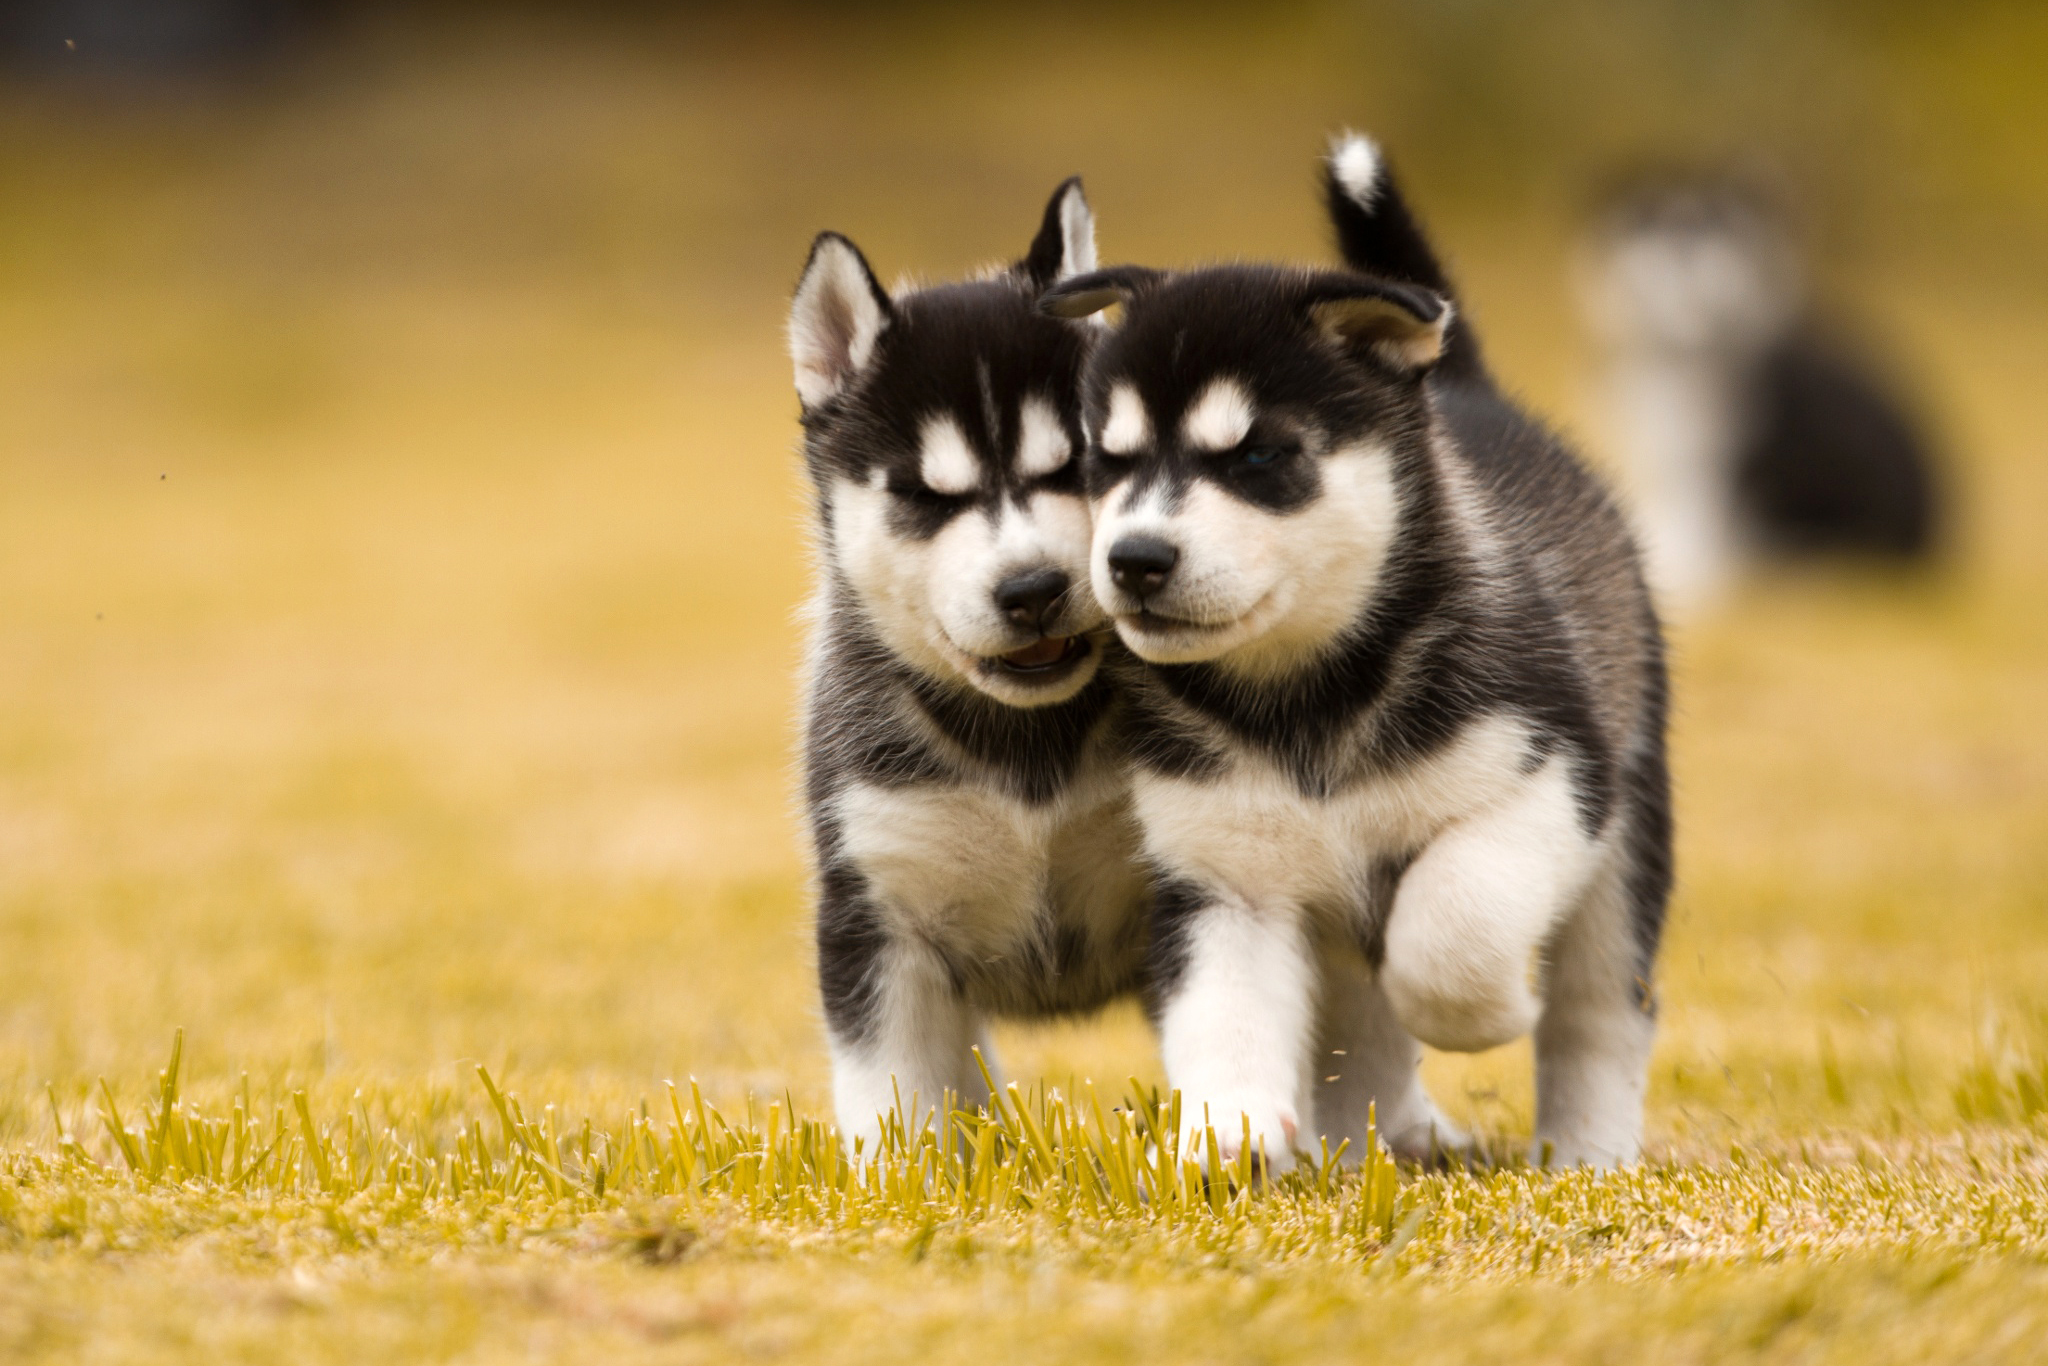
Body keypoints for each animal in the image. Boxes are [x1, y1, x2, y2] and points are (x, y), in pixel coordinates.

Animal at [786, 171, 1155, 1155]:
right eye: (927, 495)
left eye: (1077, 467)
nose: (1031, 589)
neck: (1028, 742)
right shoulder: (877, 918)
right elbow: (894, 1103)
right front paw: (903, 1181)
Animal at [1048, 133, 1671, 1171]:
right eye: (1109, 460)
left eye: (1259, 456)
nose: (1133, 558)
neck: (1306, 694)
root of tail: (1467, 385)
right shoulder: (1220, 869)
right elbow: (1221, 1010)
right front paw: (1227, 1134)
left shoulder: (1550, 778)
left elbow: (1454, 924)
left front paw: (1485, 1012)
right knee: (1357, 1021)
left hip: (1627, 827)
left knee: (1598, 1011)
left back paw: (1586, 1151)